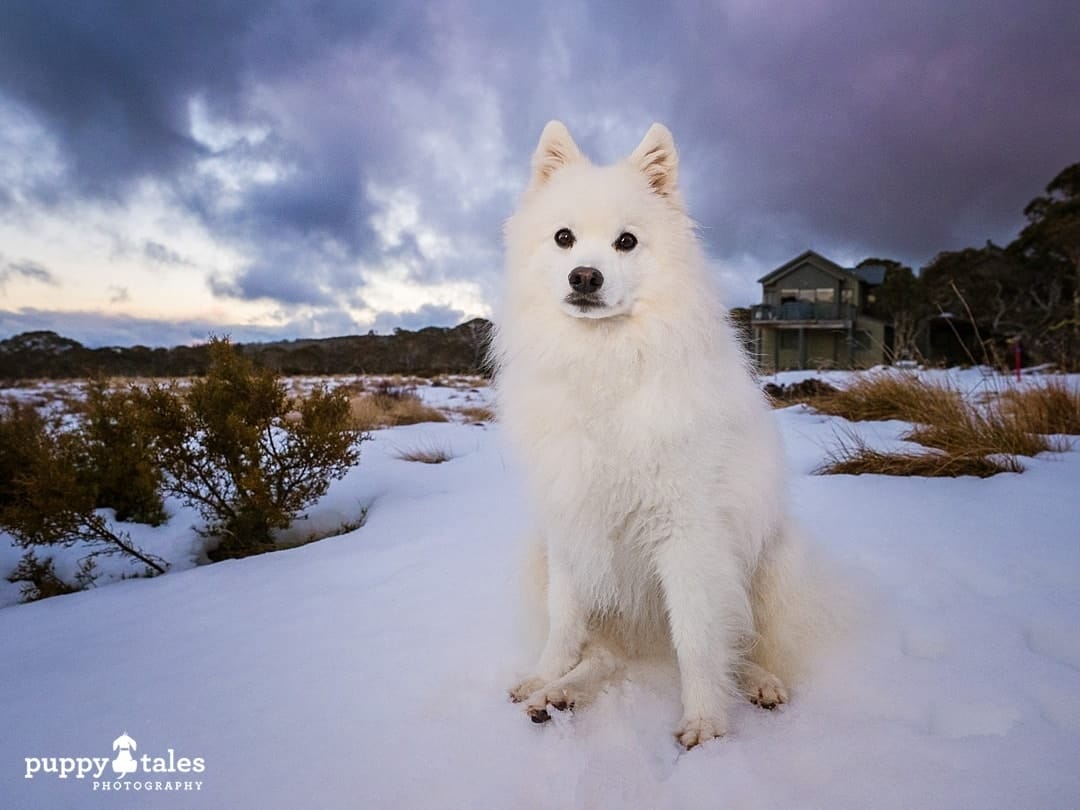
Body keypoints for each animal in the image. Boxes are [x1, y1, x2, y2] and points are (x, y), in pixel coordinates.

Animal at [492, 118, 833, 747]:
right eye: (563, 238)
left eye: (626, 241)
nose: (585, 276)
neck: (606, 367)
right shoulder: (570, 526)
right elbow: (564, 619)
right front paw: (544, 675)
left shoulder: (688, 534)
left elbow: (698, 639)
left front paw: (704, 724)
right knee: (605, 654)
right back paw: (556, 694)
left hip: (775, 562)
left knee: (743, 644)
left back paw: (760, 683)